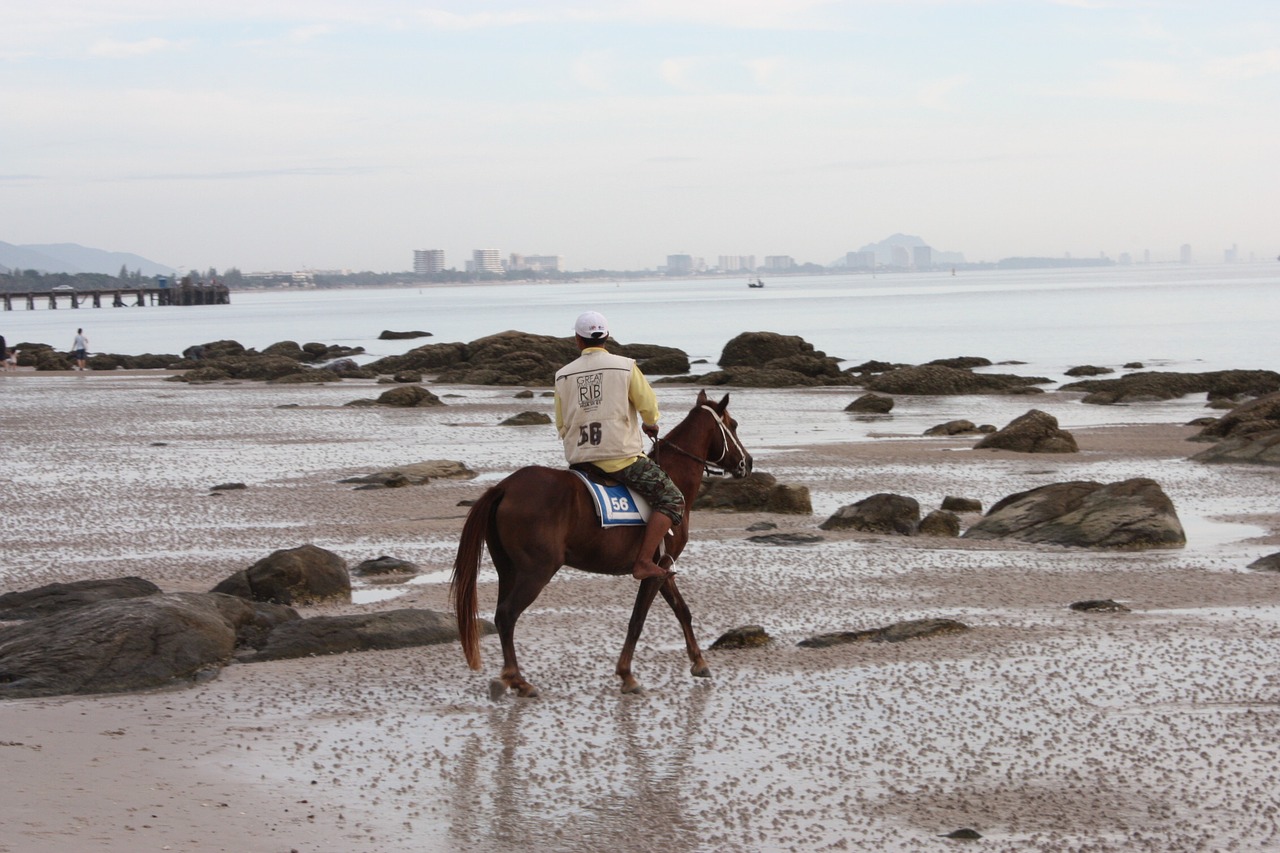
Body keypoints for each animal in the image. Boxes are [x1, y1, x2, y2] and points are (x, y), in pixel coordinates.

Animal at [450, 389, 747, 696]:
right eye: (734, 425)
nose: (746, 462)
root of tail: (504, 487)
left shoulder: (663, 569)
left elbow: (683, 611)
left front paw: (699, 661)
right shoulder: (655, 570)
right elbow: (638, 620)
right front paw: (627, 674)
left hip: (508, 570)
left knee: (501, 617)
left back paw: (512, 677)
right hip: (536, 572)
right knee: (507, 614)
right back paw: (518, 679)